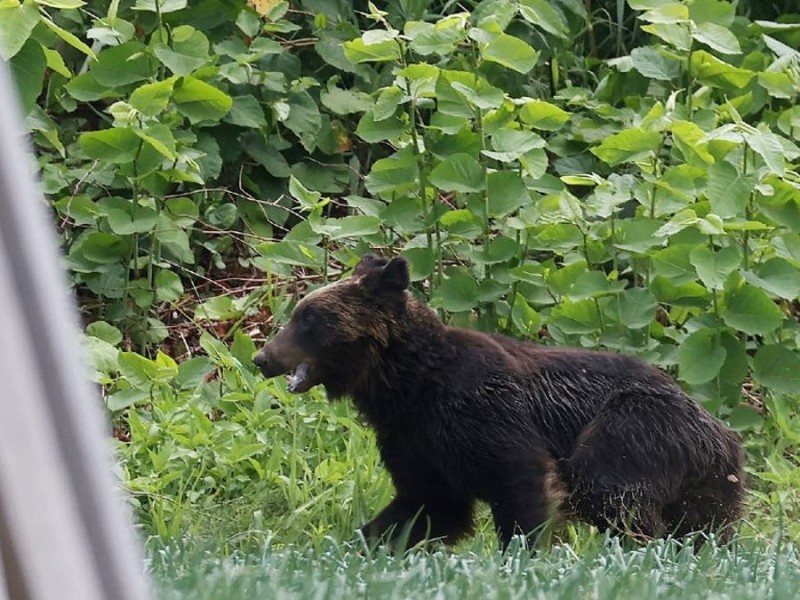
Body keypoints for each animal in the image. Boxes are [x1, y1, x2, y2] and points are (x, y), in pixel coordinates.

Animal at [255, 253, 744, 548]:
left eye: (308, 318)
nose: (262, 357)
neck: (407, 385)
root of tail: (721, 429)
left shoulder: (481, 412)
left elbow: (520, 480)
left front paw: (522, 553)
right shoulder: (413, 440)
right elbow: (425, 505)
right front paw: (366, 542)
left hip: (634, 427)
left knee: (610, 491)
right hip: (707, 482)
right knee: (705, 525)